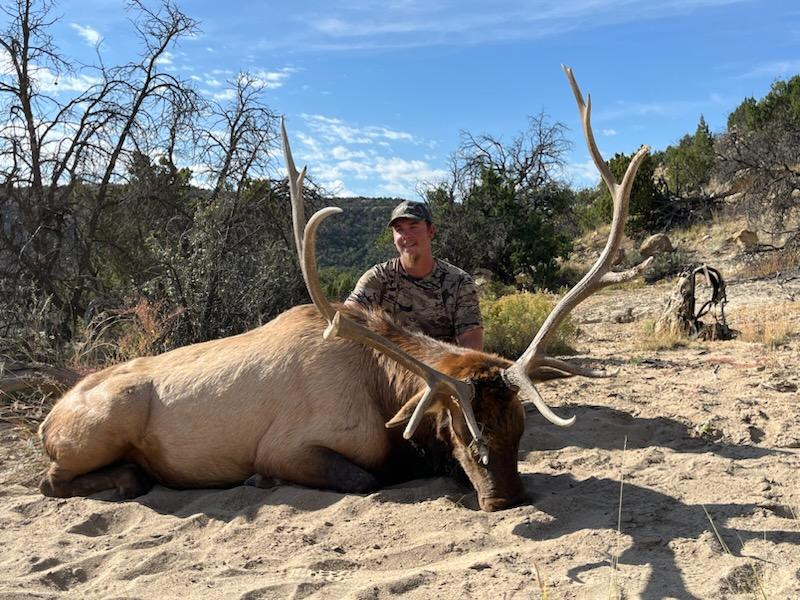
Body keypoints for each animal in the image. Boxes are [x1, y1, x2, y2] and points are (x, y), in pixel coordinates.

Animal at [38, 66, 652, 511]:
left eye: (520, 428)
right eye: (458, 430)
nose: (507, 498)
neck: (383, 390)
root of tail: (47, 419)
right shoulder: (288, 446)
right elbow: (363, 479)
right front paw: (260, 481)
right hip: (104, 420)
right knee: (52, 481)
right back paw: (128, 477)